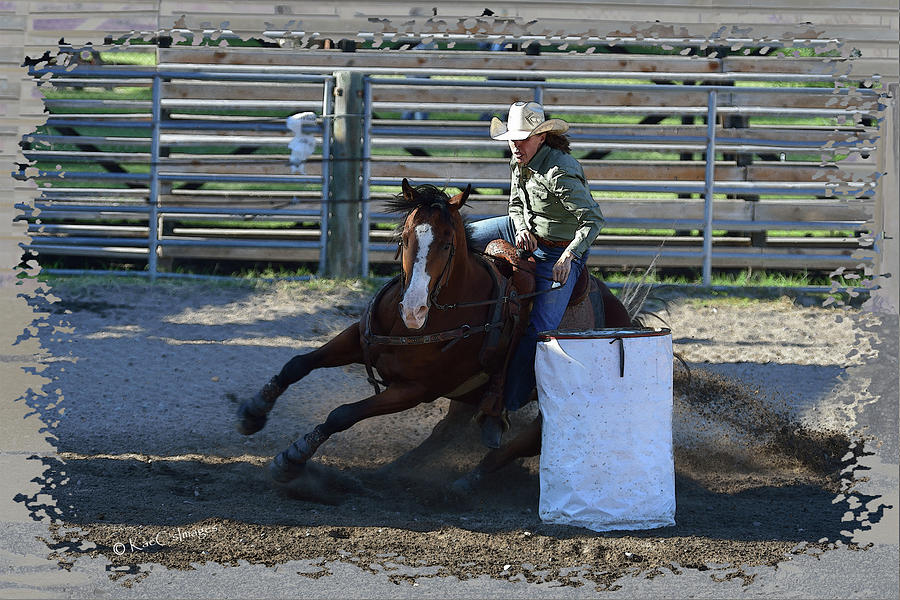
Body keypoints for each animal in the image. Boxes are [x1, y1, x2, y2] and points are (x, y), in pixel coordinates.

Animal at [232, 179, 640, 492]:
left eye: (447, 243)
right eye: (406, 237)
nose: (413, 311)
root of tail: (625, 318)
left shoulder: (416, 389)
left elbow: (342, 414)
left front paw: (292, 458)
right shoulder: (359, 339)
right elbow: (298, 363)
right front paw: (253, 412)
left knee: (522, 443)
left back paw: (467, 482)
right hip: (470, 395)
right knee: (444, 433)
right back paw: (391, 471)